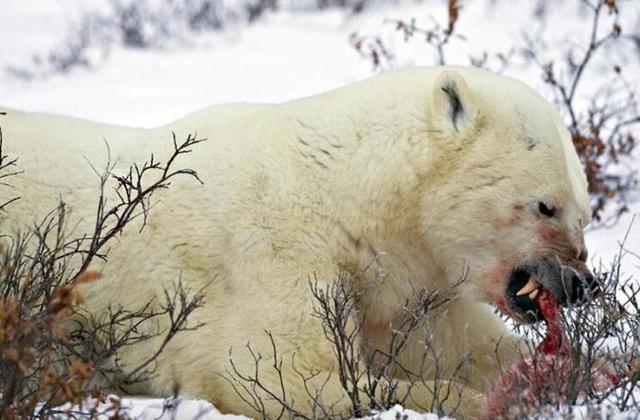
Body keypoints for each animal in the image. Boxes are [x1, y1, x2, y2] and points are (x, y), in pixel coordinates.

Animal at [0, 67, 596, 418]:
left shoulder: (399, 289)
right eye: (545, 205)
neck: (346, 196)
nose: (581, 284)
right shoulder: (274, 252)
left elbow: (464, 344)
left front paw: (592, 368)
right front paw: (496, 399)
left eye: (585, 211)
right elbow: (275, 372)